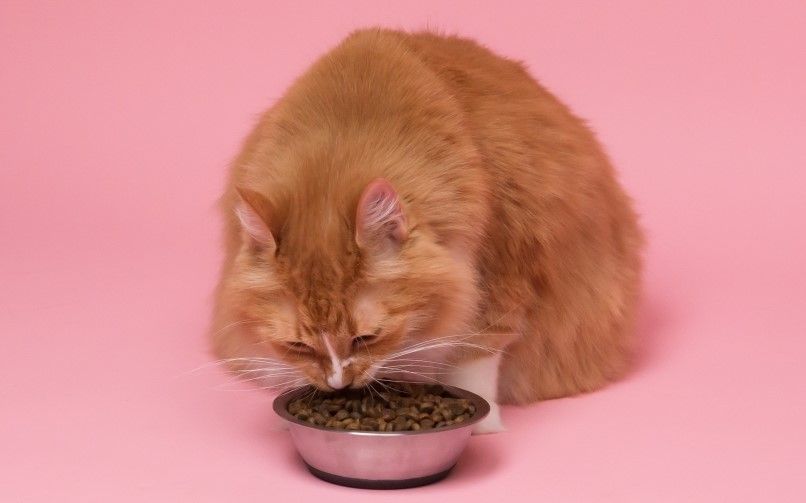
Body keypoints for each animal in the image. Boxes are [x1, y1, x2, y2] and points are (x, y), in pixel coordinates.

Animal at [208, 27, 644, 436]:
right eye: (298, 345)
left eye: (367, 338)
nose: (338, 383)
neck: (343, 140)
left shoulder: (497, 279)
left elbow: (475, 359)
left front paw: (484, 426)